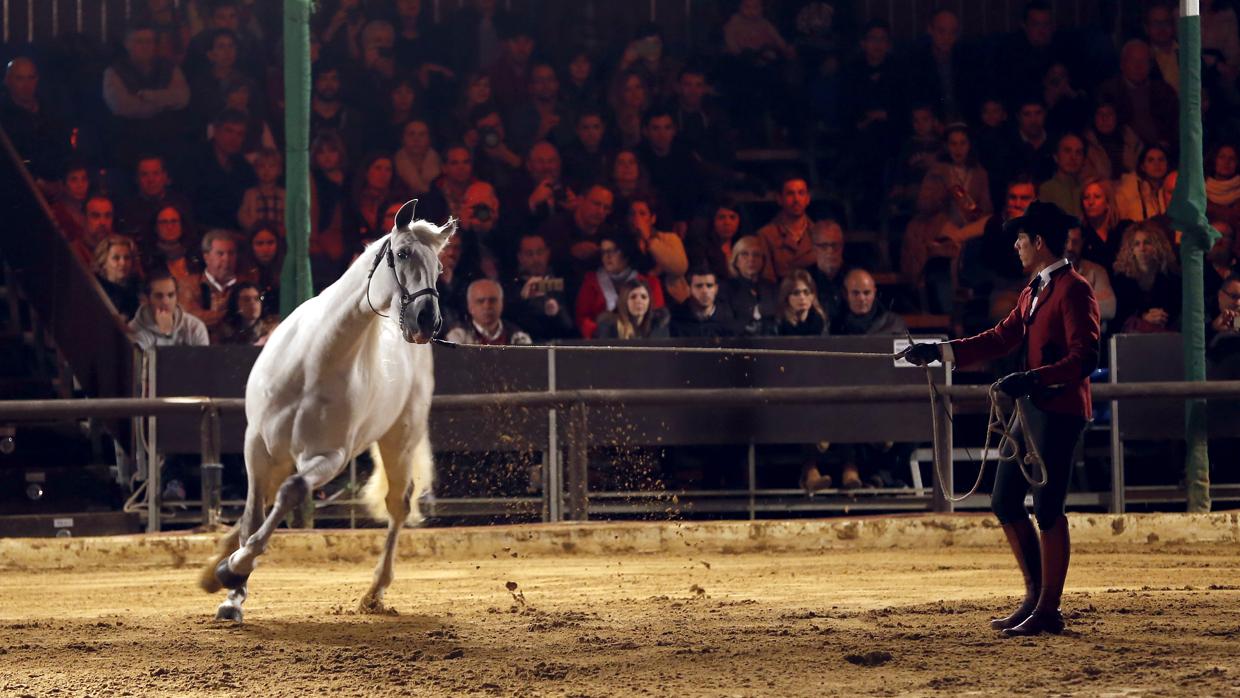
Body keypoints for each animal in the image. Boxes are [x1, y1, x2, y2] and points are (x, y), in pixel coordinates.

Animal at [198, 200, 456, 622]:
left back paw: (375, 591)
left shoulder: (329, 457)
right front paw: (230, 595)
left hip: (399, 440)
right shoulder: (258, 447)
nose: (426, 321)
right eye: (402, 254)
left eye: (439, 267)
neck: (313, 363)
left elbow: (290, 494)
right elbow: (253, 514)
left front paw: (234, 569)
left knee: (397, 506)